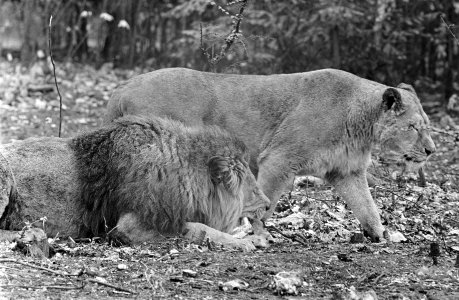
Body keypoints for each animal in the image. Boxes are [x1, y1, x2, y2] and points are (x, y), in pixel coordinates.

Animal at [0, 116, 272, 251]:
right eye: (252, 187)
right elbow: (201, 229)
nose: (269, 205)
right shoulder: (135, 224)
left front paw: (257, 236)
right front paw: (247, 242)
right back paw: (32, 233)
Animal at [105, 68, 438, 241]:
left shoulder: (347, 172)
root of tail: (124, 86)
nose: (431, 150)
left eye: (427, 126)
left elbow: (368, 208)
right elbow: (263, 204)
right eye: (413, 127)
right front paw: (255, 234)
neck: (361, 123)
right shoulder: (279, 159)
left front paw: (381, 235)